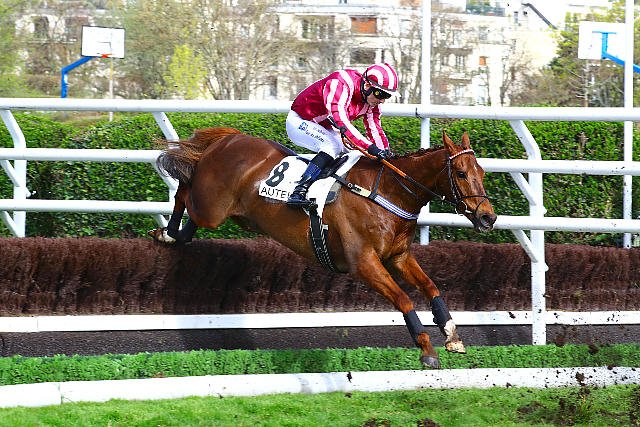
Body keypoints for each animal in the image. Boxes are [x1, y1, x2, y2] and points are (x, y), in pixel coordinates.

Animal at [149, 127, 496, 369]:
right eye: (461, 173)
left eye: (481, 172)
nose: (488, 217)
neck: (388, 192)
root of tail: (228, 139)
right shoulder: (363, 262)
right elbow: (403, 299)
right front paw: (426, 349)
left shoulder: (398, 256)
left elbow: (431, 286)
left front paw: (451, 334)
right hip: (211, 207)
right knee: (184, 192)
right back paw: (167, 234)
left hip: (230, 213)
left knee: (189, 211)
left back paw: (175, 235)